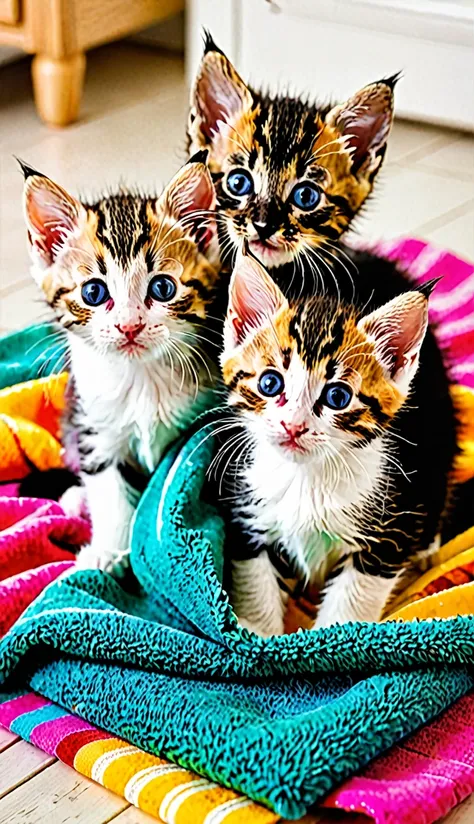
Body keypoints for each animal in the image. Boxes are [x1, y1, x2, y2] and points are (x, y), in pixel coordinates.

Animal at [21, 154, 220, 568]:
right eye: (94, 293)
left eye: (162, 288)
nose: (130, 326)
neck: (139, 378)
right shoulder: (94, 424)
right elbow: (108, 487)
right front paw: (108, 551)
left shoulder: (196, 428)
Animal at [217, 254, 454, 636]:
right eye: (270, 383)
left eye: (337, 397)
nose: (293, 426)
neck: (307, 478)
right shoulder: (247, 509)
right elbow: (255, 577)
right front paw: (257, 632)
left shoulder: (390, 528)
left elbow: (355, 596)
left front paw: (337, 639)